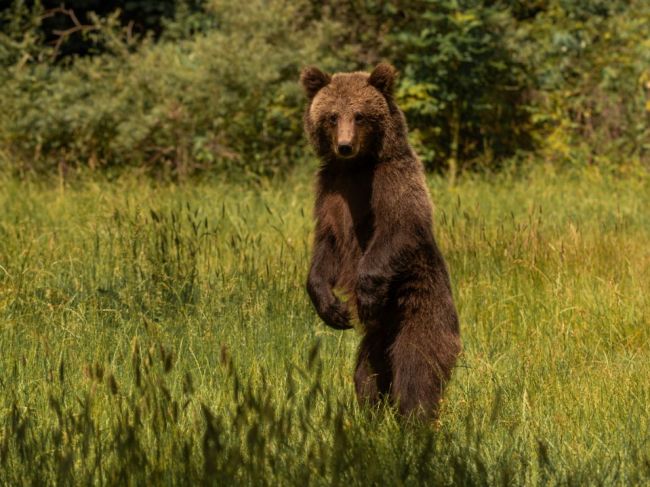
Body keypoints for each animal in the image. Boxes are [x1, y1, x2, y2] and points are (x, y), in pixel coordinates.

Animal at [300, 62, 458, 420]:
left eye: (360, 115)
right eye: (332, 116)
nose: (345, 146)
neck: (357, 167)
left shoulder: (391, 179)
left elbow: (400, 225)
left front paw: (366, 293)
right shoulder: (330, 191)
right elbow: (326, 244)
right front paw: (332, 308)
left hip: (421, 308)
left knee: (418, 368)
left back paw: (415, 419)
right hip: (376, 341)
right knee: (367, 374)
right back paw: (370, 415)